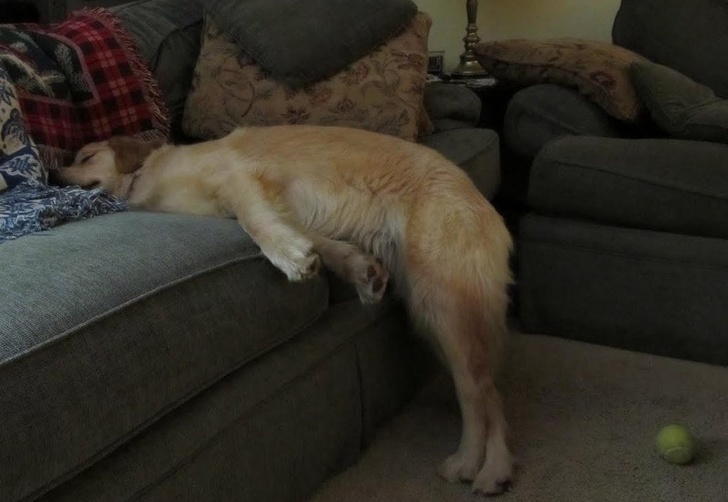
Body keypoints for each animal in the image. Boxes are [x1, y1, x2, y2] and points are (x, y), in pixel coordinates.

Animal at [55, 124, 514, 495]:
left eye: (85, 157)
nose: (52, 175)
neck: (144, 175)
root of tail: (480, 198)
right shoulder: (275, 204)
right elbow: (318, 242)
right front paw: (354, 268)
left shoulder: (238, 178)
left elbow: (256, 222)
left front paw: (289, 257)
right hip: (430, 316)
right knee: (485, 386)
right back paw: (494, 468)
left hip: (444, 302)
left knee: (480, 392)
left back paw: (477, 464)